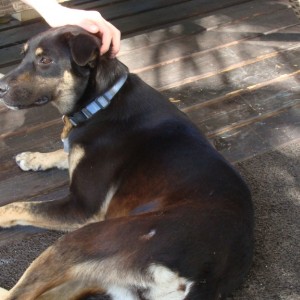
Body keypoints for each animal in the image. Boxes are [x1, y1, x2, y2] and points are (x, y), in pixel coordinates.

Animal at [0, 26, 253, 300]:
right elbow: (64, 152)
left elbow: (17, 206)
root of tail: (206, 276)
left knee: (19, 294)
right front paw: (33, 158)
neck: (102, 101)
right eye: (23, 56)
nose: (0, 87)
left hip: (82, 240)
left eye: (45, 60)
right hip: (96, 274)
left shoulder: (81, 208)